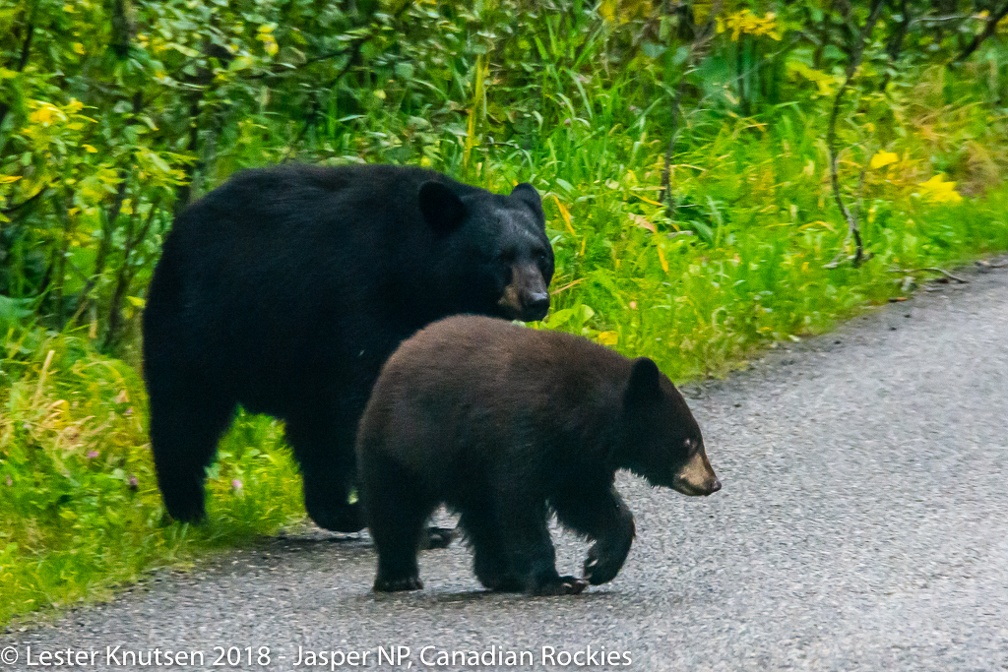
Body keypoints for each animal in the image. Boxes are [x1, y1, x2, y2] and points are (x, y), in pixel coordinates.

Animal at [141, 163, 552, 531]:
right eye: (499, 257)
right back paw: (188, 512)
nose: (536, 300)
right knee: (184, 417)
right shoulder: (362, 302)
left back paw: (338, 510)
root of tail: (177, 231)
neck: (414, 271)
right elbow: (368, 401)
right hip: (200, 329)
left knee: (314, 438)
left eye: (541, 255)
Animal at [358, 316, 721, 592]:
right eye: (688, 442)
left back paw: (501, 575)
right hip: (403, 450)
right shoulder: (520, 434)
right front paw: (556, 580)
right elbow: (520, 506)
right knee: (395, 508)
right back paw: (398, 576)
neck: (578, 411)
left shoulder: (578, 459)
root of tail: (390, 364)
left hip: (466, 471)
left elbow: (587, 503)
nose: (712, 482)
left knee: (482, 518)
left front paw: (599, 564)